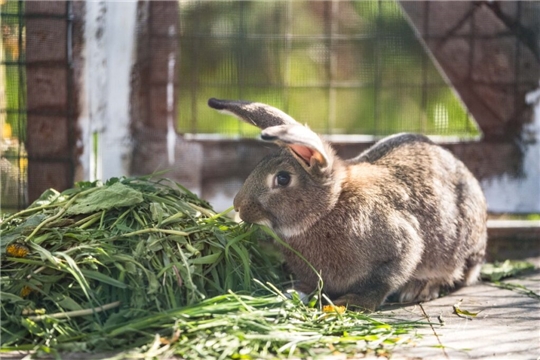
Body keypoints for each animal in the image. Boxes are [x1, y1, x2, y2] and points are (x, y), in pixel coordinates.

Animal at [208, 97, 490, 310]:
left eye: (283, 178)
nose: (238, 206)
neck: (329, 208)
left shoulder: (401, 245)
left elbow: (384, 278)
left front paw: (354, 303)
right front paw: (293, 293)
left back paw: (419, 289)